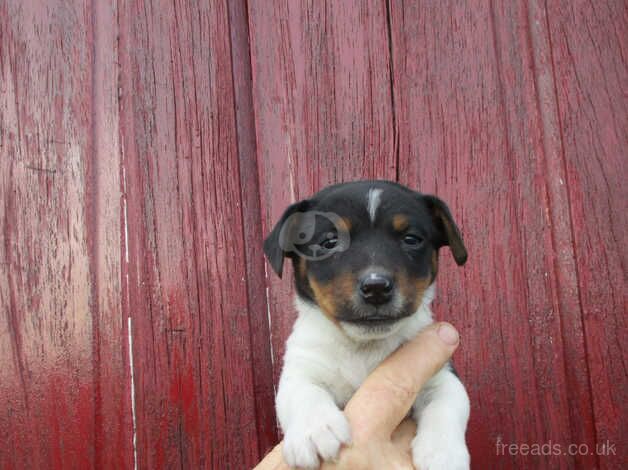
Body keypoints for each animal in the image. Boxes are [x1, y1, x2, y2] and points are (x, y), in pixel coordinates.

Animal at [262, 181, 468, 470]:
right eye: (329, 242)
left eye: (411, 239)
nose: (376, 287)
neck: (363, 346)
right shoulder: (303, 364)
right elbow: (303, 391)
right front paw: (315, 429)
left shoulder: (442, 375)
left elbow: (448, 401)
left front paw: (443, 452)